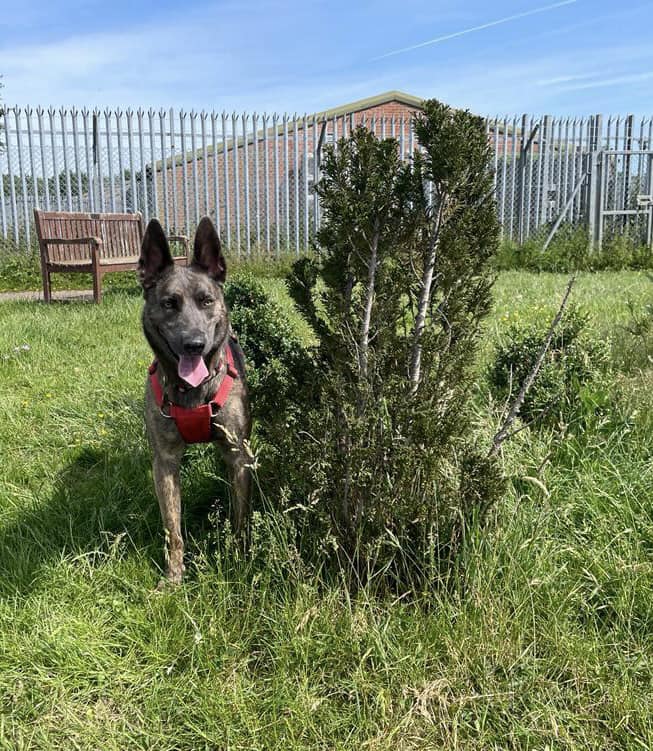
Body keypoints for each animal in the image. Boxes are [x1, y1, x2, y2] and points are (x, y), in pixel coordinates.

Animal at [139, 214, 251, 584]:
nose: (194, 344)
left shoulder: (237, 454)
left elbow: (240, 516)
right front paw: (175, 575)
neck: (192, 391)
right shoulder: (164, 462)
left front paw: (238, 561)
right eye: (169, 303)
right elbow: (172, 527)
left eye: (206, 300)